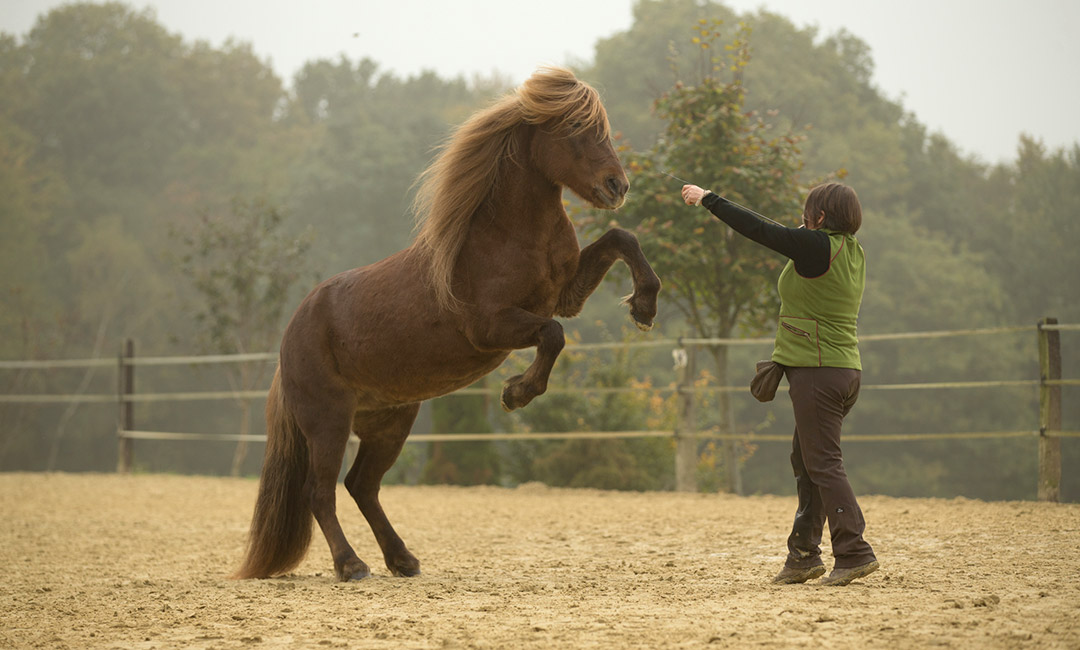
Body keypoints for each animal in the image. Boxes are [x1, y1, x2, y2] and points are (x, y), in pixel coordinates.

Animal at [232, 68, 660, 578]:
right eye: (575, 128)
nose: (618, 186)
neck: (507, 236)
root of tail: (288, 340)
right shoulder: (492, 327)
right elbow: (552, 335)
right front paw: (516, 393)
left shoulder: (565, 295)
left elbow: (622, 238)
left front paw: (644, 306)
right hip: (327, 421)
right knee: (320, 492)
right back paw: (352, 565)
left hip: (390, 421)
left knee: (362, 486)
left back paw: (403, 559)